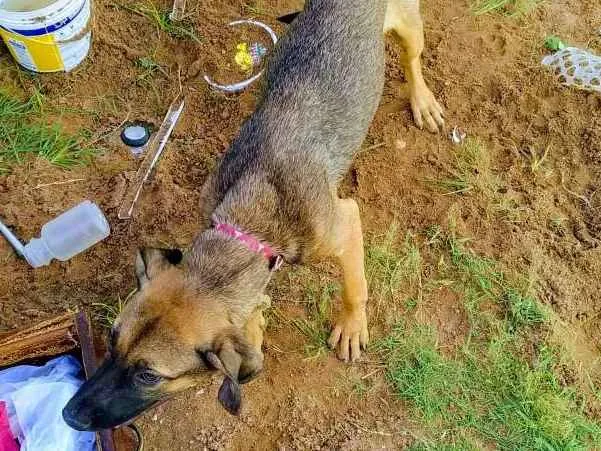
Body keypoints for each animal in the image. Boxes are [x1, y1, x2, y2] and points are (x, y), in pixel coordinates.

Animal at [63, 0, 442, 430]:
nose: (68, 415)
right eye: (112, 339)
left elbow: (354, 287)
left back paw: (423, 100)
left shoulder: (344, 223)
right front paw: (257, 321)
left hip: (409, 26)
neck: (248, 225)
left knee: (412, 59)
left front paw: (351, 326)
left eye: (149, 376)